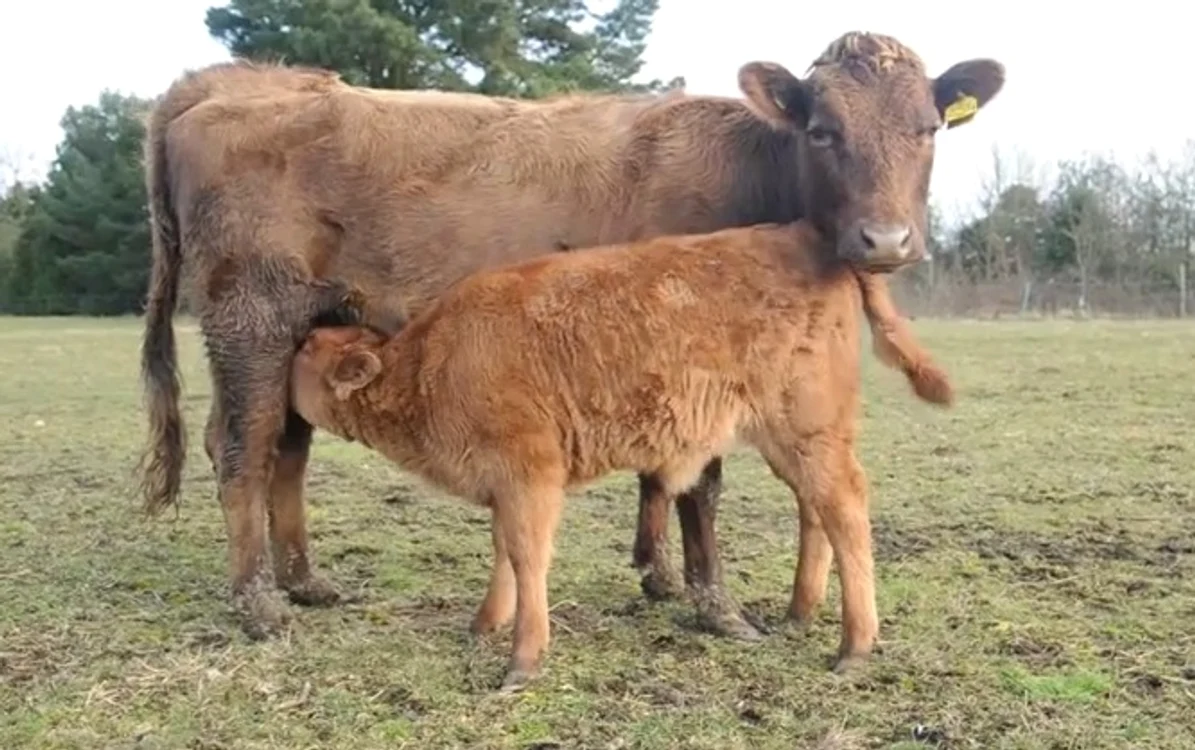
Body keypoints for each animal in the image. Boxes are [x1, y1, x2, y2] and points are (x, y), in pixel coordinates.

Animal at [138, 31, 1003, 642]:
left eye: (928, 129)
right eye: (822, 130)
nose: (884, 240)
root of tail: (236, 82)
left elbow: (661, 477)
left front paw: (657, 576)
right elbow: (700, 484)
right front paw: (714, 606)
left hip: (305, 330)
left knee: (286, 447)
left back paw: (302, 583)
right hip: (249, 319)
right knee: (243, 448)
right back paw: (259, 606)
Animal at [287, 219, 953, 691]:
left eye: (306, 351)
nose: (290, 348)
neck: (427, 366)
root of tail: (807, 234)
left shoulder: (531, 475)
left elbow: (526, 556)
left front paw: (522, 660)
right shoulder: (505, 483)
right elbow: (504, 552)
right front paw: (484, 625)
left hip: (808, 432)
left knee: (846, 510)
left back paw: (854, 647)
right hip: (792, 441)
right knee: (815, 512)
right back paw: (799, 614)